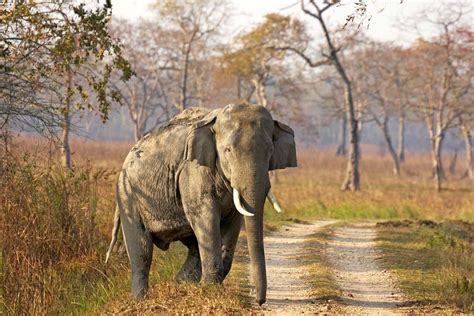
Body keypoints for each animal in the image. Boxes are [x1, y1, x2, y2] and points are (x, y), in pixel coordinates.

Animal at [105, 102, 296, 304]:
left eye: (270, 151)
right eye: (228, 151)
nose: (260, 302)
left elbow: (232, 223)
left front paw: (206, 287)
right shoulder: (193, 171)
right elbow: (206, 217)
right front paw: (212, 289)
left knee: (193, 246)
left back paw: (182, 284)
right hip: (127, 193)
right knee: (141, 249)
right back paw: (140, 300)